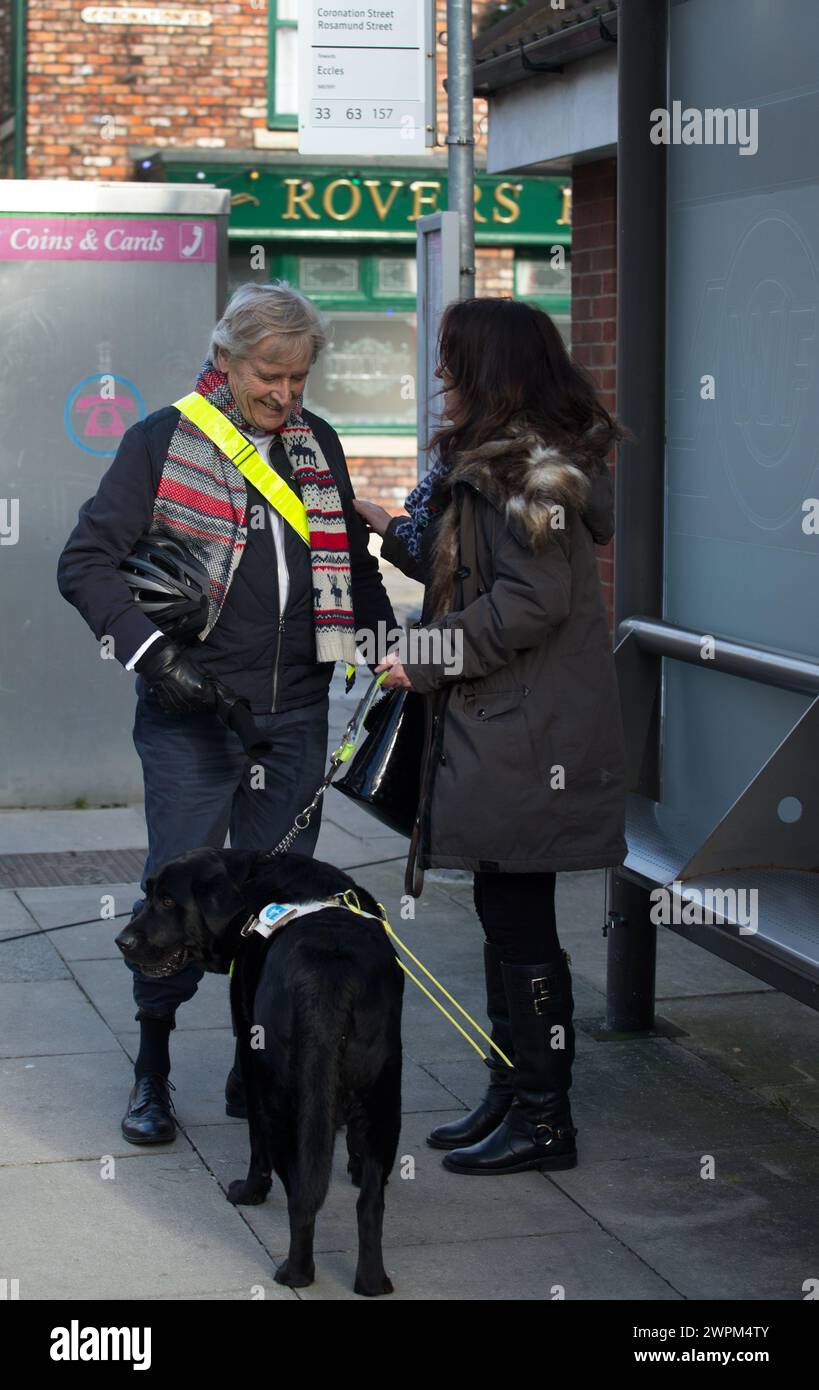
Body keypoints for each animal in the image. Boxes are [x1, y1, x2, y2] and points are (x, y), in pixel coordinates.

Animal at [116, 839, 403, 1295]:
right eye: (148, 893)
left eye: (167, 900)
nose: (121, 940)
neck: (252, 880)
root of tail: (330, 975)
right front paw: (354, 1168)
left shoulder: (251, 1059)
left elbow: (256, 1143)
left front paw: (249, 1191)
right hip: (384, 1098)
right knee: (370, 1203)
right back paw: (372, 1282)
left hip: (284, 1098)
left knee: (301, 1196)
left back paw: (295, 1273)